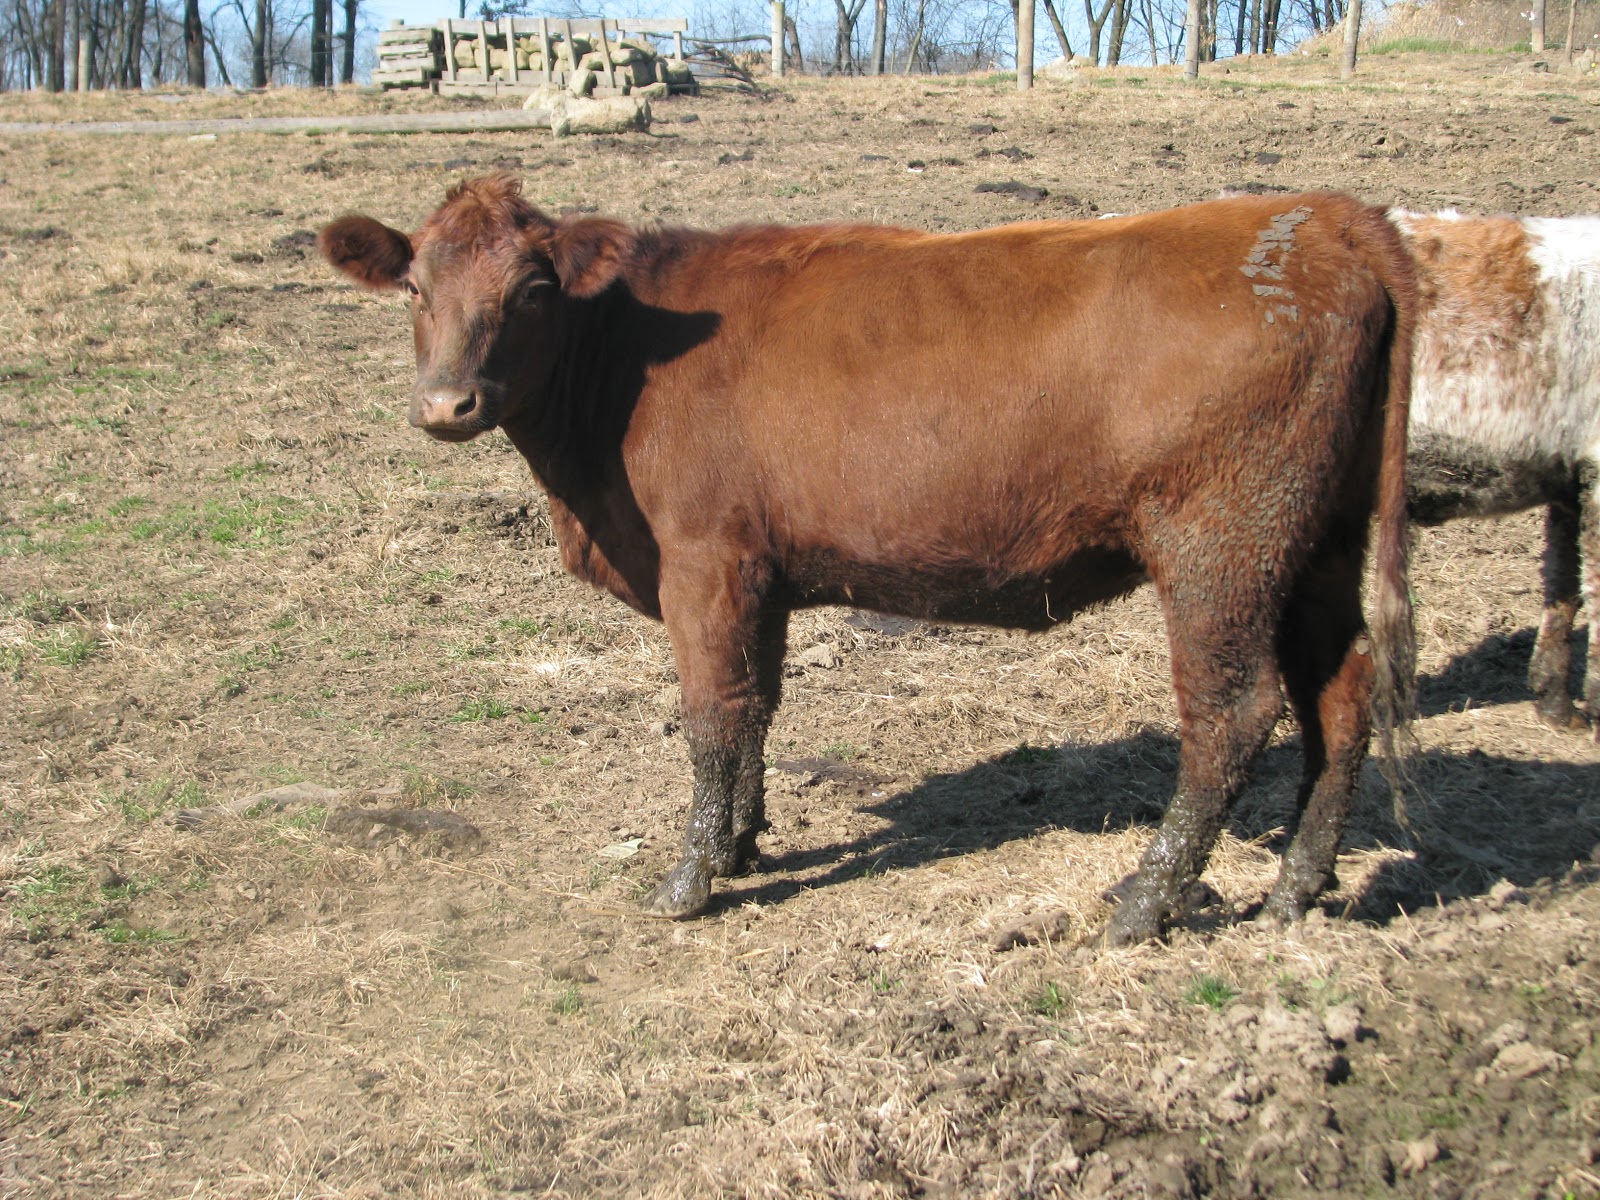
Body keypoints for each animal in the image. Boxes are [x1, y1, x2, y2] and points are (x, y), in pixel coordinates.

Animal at [319, 176, 1416, 946]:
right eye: (414, 285)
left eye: (533, 288)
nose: (447, 404)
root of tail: (1322, 217)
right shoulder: (760, 576)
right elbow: (756, 709)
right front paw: (743, 843)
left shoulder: (704, 563)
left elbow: (710, 718)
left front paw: (689, 879)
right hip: (1317, 547)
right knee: (1340, 695)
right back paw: (1295, 890)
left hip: (1221, 549)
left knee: (1232, 714)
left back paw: (1144, 901)